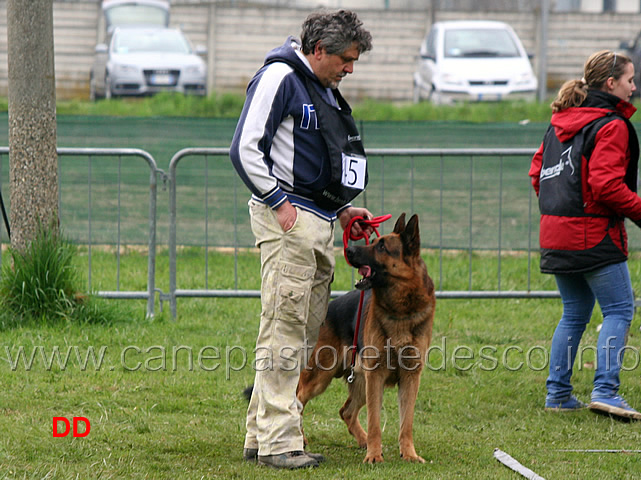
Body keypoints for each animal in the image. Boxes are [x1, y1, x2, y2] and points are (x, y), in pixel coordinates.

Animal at [298, 212, 432, 464]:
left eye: (381, 246)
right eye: (375, 242)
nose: (348, 249)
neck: (400, 309)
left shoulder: (411, 377)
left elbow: (406, 423)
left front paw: (409, 454)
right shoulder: (376, 376)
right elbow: (375, 422)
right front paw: (374, 455)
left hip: (360, 381)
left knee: (346, 411)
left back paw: (362, 441)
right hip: (321, 377)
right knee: (297, 399)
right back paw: (297, 439)